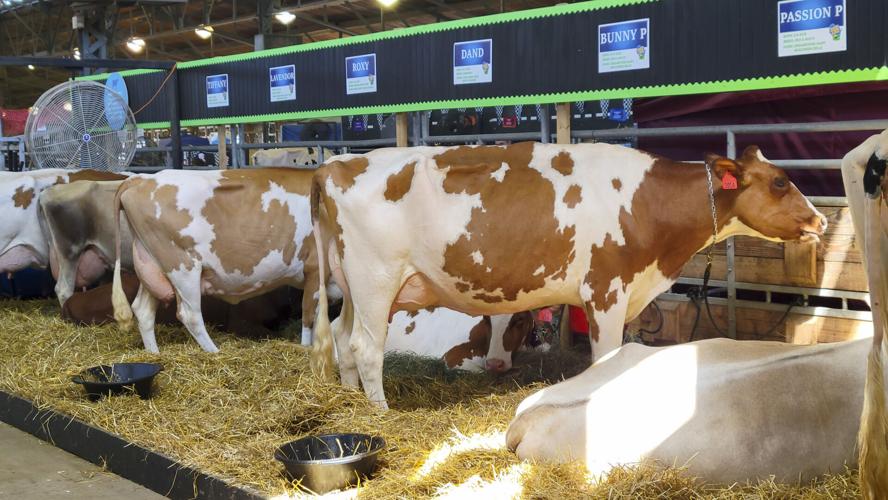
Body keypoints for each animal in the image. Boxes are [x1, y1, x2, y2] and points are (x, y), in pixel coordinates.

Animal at [111, 168, 341, 353]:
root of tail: (143, 178)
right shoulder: (315, 268)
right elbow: (309, 316)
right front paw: (308, 349)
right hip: (182, 267)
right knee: (190, 314)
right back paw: (215, 352)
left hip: (152, 264)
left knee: (143, 311)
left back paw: (154, 354)